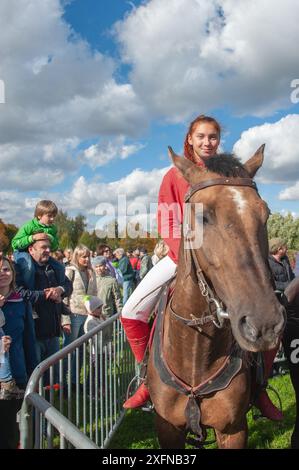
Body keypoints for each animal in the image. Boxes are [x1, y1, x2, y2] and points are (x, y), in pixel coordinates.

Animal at [147, 146, 286, 448]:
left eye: (266, 213)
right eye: (202, 217)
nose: (264, 324)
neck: (195, 352)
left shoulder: (233, 429)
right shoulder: (167, 430)